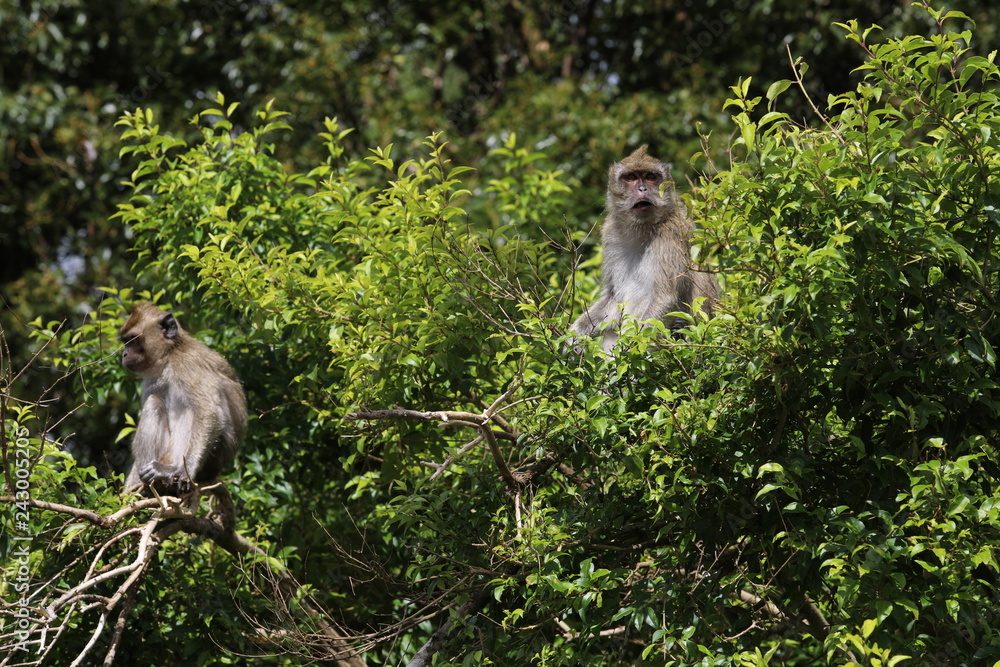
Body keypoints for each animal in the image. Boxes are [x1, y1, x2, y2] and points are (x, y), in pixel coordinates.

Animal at [119, 302, 246, 496]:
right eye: (125, 342)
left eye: (133, 340)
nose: (124, 354)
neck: (170, 356)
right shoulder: (151, 381)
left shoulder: (188, 364)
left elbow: (208, 411)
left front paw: (183, 472)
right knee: (154, 403)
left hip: (211, 459)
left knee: (189, 410)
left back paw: (170, 470)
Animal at [572, 146, 720, 352]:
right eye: (631, 177)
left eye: (650, 177)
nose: (643, 189)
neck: (643, 230)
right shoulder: (610, 233)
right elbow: (612, 298)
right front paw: (573, 337)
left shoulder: (671, 233)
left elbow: (664, 298)